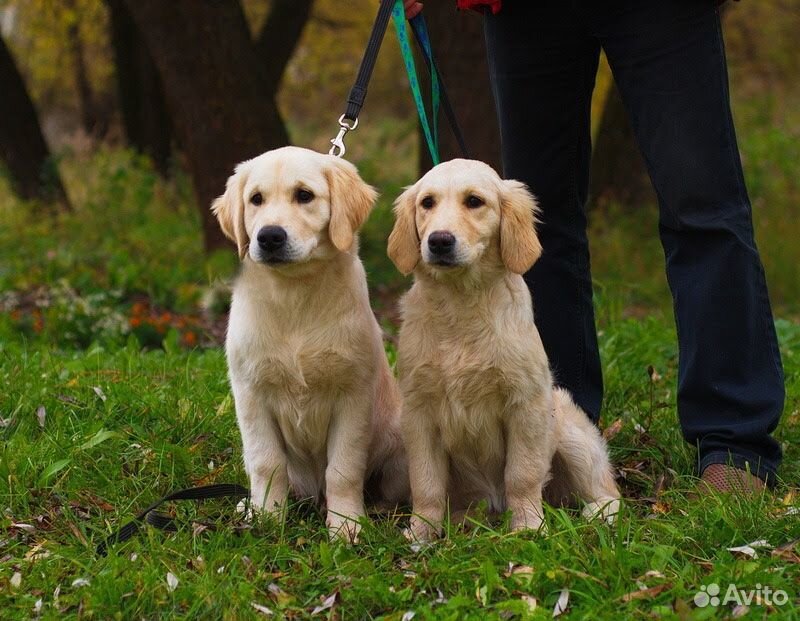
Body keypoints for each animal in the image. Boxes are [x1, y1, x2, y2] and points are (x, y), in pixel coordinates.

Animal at [211, 148, 406, 540]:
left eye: (304, 195)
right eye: (256, 199)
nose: (269, 237)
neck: (295, 295)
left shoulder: (352, 395)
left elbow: (343, 469)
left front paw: (346, 526)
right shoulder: (251, 394)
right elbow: (266, 462)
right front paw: (267, 518)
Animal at [388, 160, 620, 544]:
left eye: (474, 201)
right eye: (427, 203)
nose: (439, 241)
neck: (461, 304)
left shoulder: (525, 404)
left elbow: (522, 474)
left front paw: (528, 526)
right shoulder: (418, 411)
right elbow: (426, 481)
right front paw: (421, 532)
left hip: (572, 434)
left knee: (607, 487)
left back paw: (598, 512)